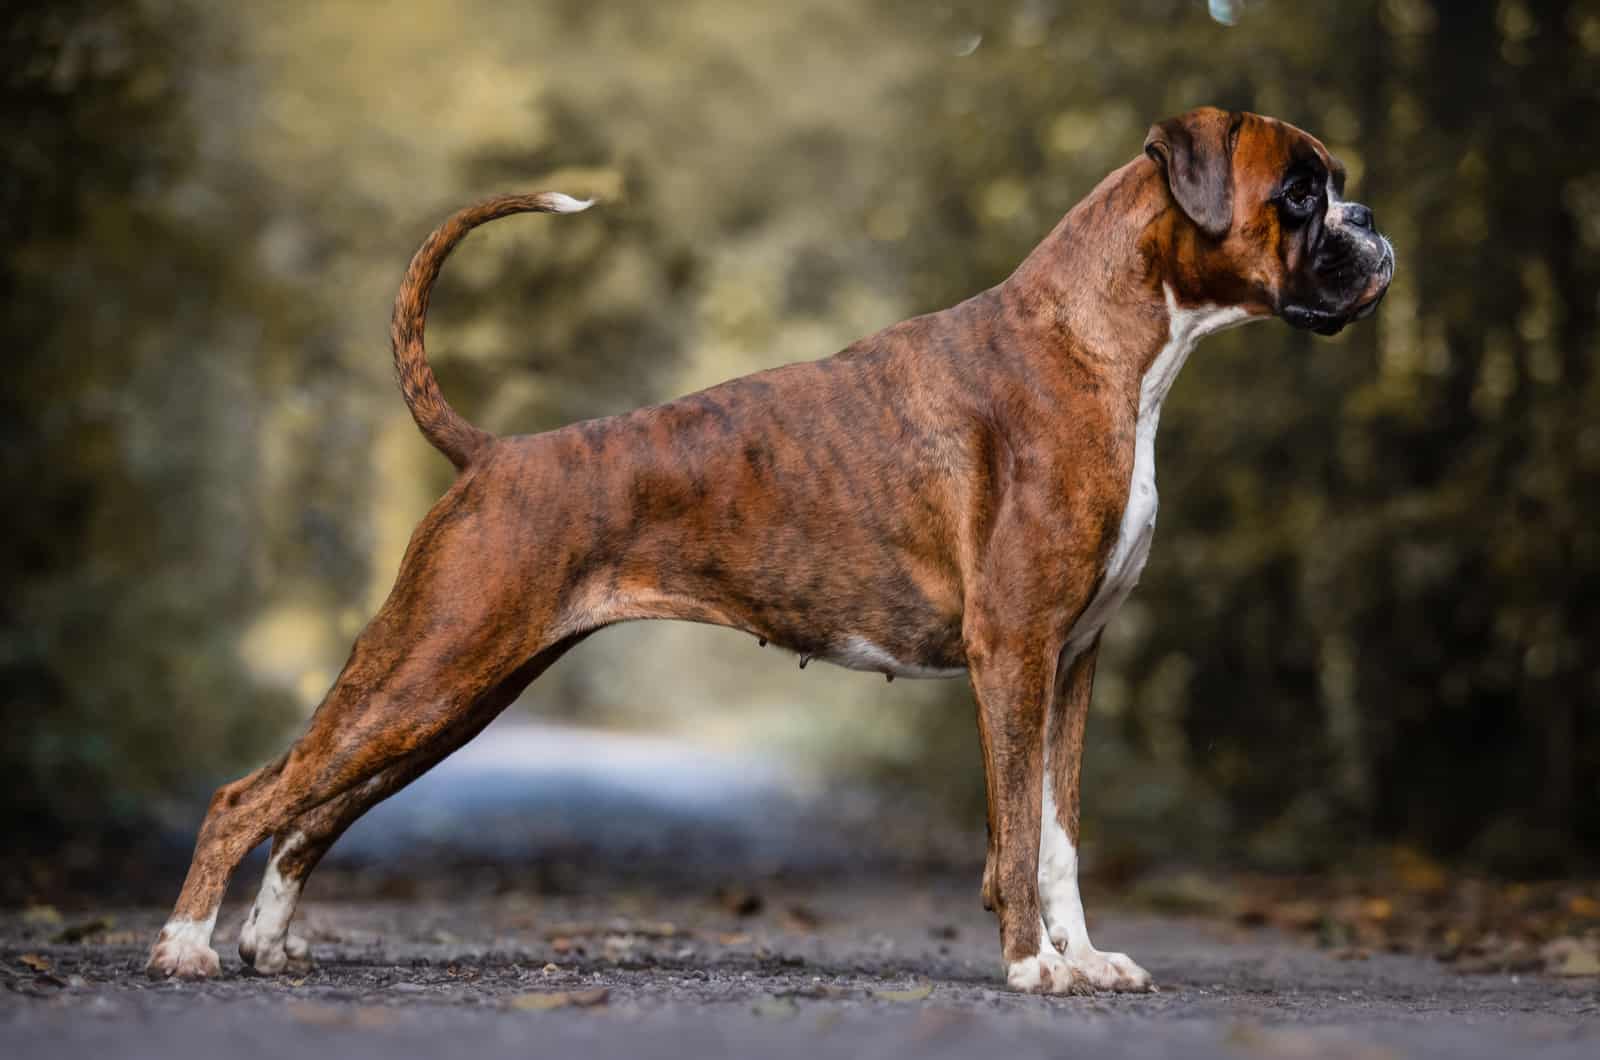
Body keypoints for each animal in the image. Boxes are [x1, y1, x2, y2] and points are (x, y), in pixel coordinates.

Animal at [147, 109, 1388, 999]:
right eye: (1298, 192)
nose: (1373, 227)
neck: (1103, 344)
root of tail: (497, 453)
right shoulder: (1014, 654)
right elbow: (1014, 830)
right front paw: (1033, 966)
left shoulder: (1072, 661)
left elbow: (1059, 834)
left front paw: (1082, 957)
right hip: (428, 670)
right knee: (250, 794)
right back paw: (185, 945)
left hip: (454, 694)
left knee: (314, 812)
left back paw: (267, 943)